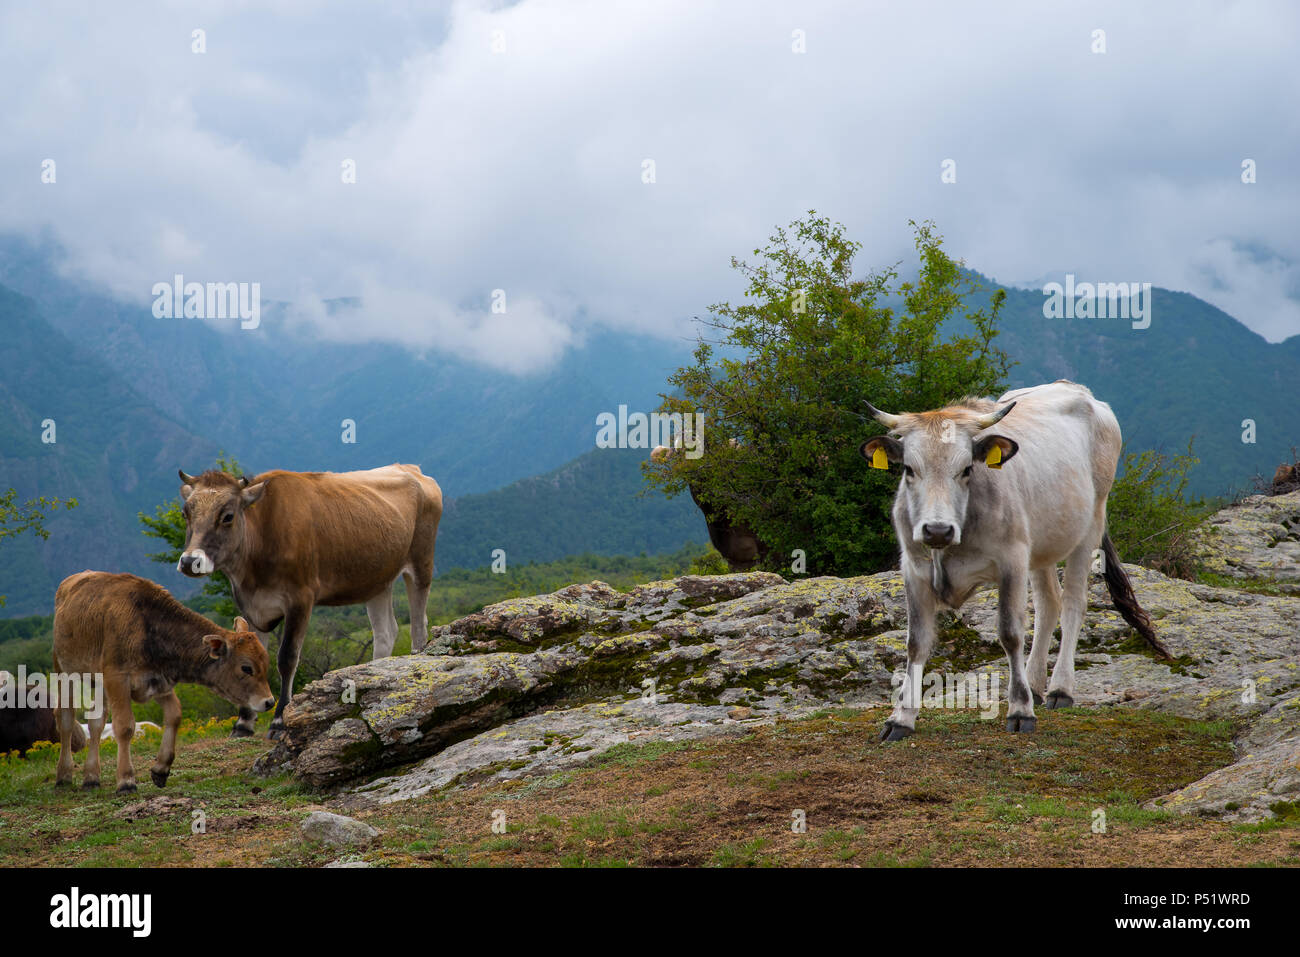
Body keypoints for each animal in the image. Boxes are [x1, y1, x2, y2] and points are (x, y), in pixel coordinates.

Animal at [53, 574, 274, 790]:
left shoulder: (158, 682)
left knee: (96, 723)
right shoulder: (117, 679)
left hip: (100, 685)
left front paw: (161, 768)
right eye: (246, 668)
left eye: (265, 662)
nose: (269, 702)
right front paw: (126, 780)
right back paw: (63, 775)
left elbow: (174, 716)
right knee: (65, 720)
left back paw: (91, 777)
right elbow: (125, 727)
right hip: (64, 671)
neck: (148, 627)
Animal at [178, 462, 441, 733]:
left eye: (228, 516)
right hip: (378, 579)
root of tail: (408, 467)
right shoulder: (250, 606)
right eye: (185, 513)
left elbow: (287, 657)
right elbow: (250, 653)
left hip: (421, 563)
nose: (190, 561)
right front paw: (243, 723)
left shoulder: (301, 598)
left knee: (418, 625)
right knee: (385, 633)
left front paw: (279, 720)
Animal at [863, 382, 1170, 738]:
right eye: (909, 469)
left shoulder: (1012, 561)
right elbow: (916, 642)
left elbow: (1010, 634)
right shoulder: (914, 568)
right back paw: (1035, 683)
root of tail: (1077, 389)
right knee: (1049, 604)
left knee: (1073, 604)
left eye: (967, 469)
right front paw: (901, 717)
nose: (937, 530)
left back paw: (1060, 688)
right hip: (1041, 546)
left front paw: (1020, 710)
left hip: (1090, 525)